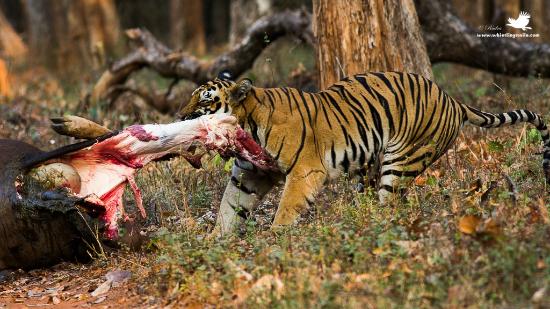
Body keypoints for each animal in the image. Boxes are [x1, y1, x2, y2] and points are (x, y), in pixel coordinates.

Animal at [179, 71, 548, 235]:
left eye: (205, 100)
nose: (180, 117)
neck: (248, 129)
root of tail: (452, 99)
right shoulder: (251, 172)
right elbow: (229, 208)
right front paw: (216, 241)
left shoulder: (305, 171)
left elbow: (285, 210)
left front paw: (275, 241)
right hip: (371, 168)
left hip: (401, 161)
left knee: (390, 206)